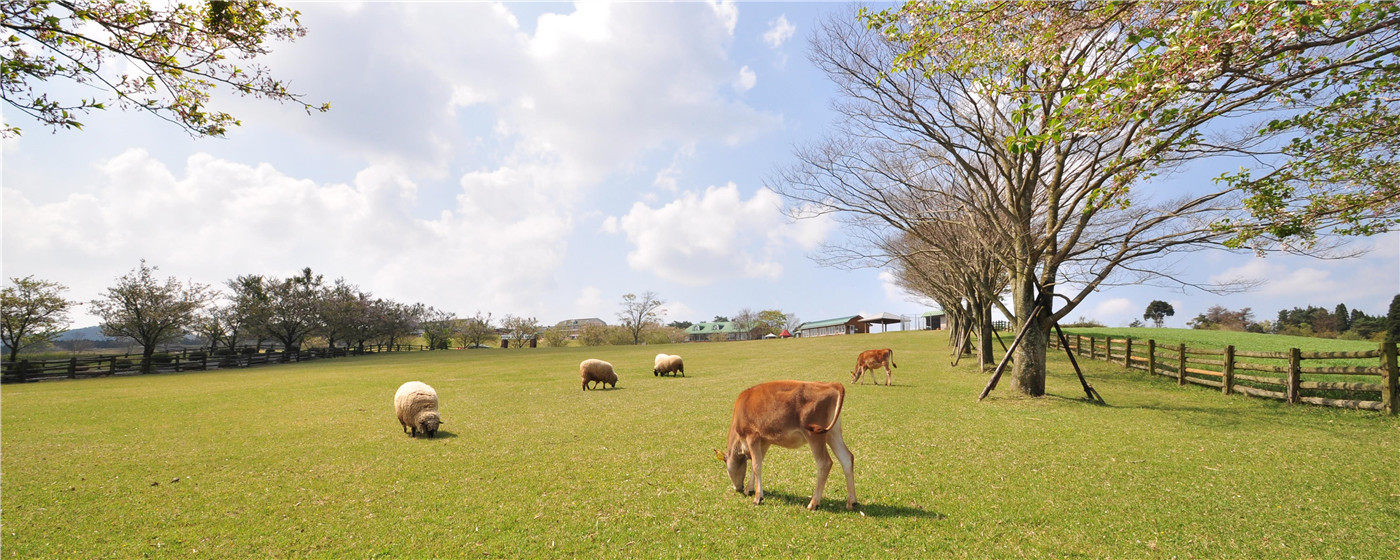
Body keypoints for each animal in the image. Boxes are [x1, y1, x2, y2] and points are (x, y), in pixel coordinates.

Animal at [716, 380, 856, 512]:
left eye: (726, 467)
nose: (738, 489)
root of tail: (832, 384)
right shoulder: (764, 441)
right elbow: (756, 464)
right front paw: (750, 490)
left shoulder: (752, 436)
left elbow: (756, 466)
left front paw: (757, 498)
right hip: (833, 433)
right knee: (846, 458)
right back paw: (852, 502)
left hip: (814, 434)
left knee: (824, 463)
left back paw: (813, 503)